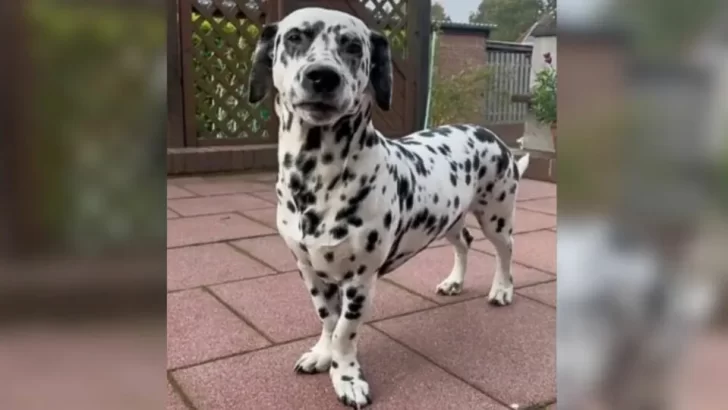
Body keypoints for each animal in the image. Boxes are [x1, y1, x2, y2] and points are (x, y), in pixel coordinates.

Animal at [249, 7, 528, 410]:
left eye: (353, 46)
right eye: (295, 37)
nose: (322, 76)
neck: (317, 178)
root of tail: (491, 135)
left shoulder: (360, 281)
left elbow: (345, 331)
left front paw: (347, 376)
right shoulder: (309, 271)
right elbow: (327, 320)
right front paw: (322, 354)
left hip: (497, 215)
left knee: (505, 250)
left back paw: (503, 289)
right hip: (448, 221)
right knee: (464, 243)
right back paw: (454, 281)